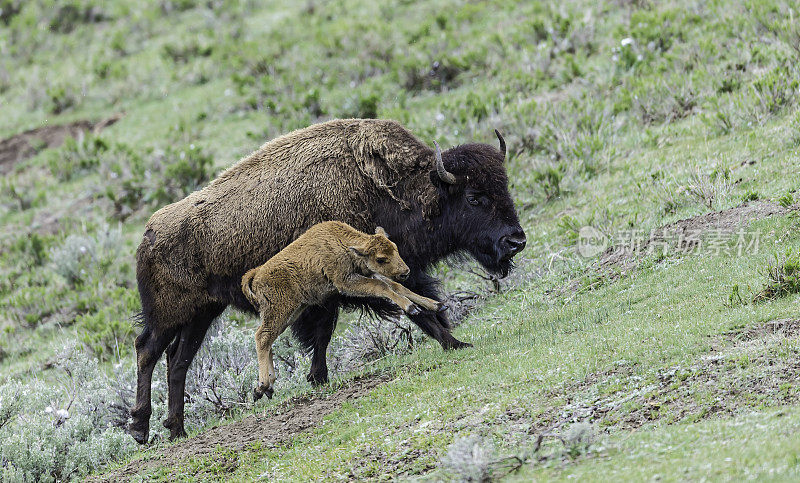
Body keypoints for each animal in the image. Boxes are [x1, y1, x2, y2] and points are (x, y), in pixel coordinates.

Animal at [244, 221, 444, 398]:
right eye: (381, 259)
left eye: (395, 248)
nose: (405, 272)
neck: (341, 243)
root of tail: (257, 274)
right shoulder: (346, 283)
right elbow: (382, 287)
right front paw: (411, 307)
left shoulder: (365, 275)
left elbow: (396, 286)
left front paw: (434, 304)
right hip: (280, 311)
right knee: (262, 337)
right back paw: (262, 386)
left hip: (292, 313)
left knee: (268, 341)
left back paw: (267, 387)